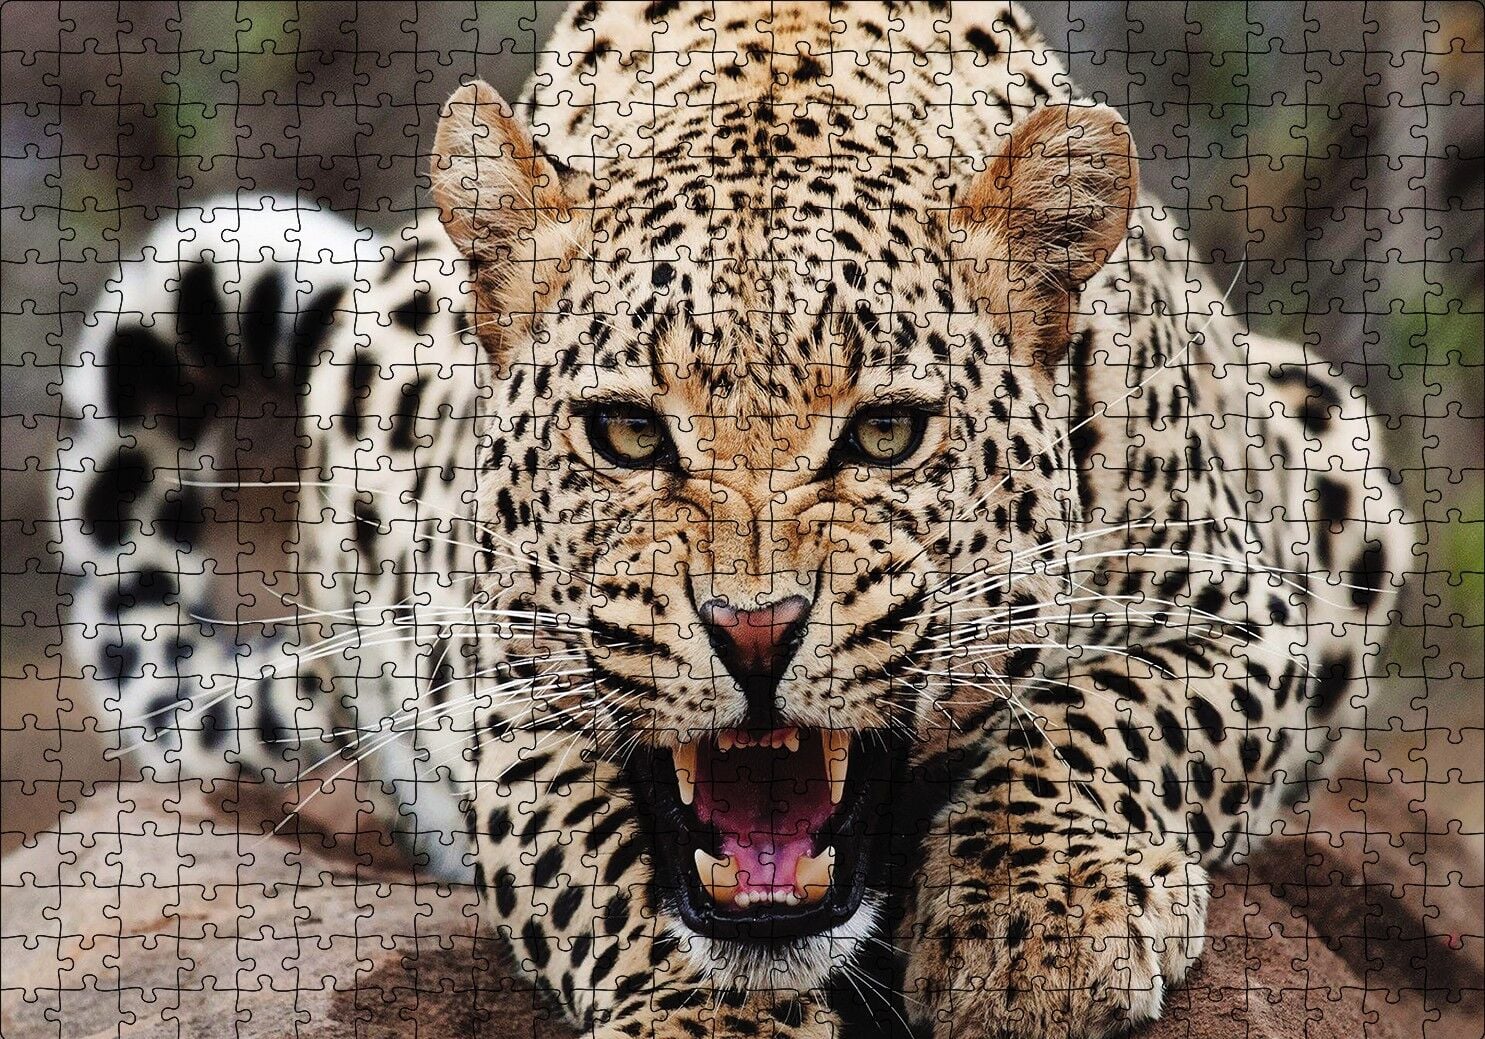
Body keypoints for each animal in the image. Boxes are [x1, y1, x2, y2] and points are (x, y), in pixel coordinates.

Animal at [54, 3, 1408, 1036]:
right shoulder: (491, 672)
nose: (755, 632)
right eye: (626, 434)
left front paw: (1039, 927)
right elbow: (589, 850)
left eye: (886, 435)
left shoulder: (1251, 610)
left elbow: (1107, 716)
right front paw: (711, 1016)